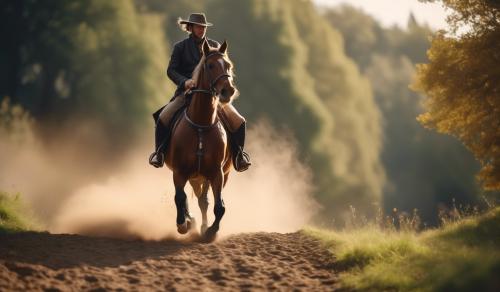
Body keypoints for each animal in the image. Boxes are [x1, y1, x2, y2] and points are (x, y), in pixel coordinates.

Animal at [163, 39, 235, 240]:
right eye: (210, 65)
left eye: (228, 65)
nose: (228, 91)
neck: (202, 124)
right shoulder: (180, 171)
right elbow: (180, 197)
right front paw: (183, 224)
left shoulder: (217, 173)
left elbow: (219, 206)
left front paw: (210, 231)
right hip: (193, 176)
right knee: (188, 198)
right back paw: (190, 221)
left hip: (212, 175)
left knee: (204, 200)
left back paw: (202, 225)